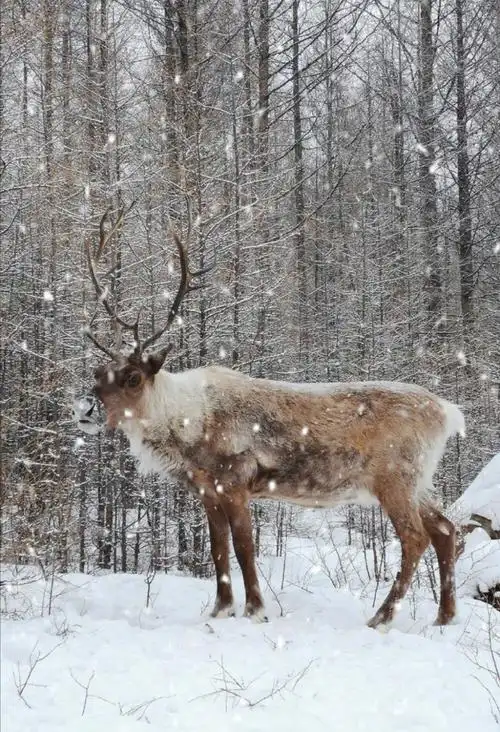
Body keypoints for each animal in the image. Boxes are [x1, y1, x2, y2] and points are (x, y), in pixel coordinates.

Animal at [75, 207, 464, 629]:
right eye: (97, 372)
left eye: (132, 377)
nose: (85, 409)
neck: (185, 429)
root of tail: (449, 413)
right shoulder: (206, 491)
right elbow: (217, 548)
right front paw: (220, 609)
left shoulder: (235, 482)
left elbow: (244, 547)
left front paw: (256, 610)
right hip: (419, 481)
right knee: (446, 529)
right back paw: (444, 618)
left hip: (396, 478)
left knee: (415, 537)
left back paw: (381, 617)